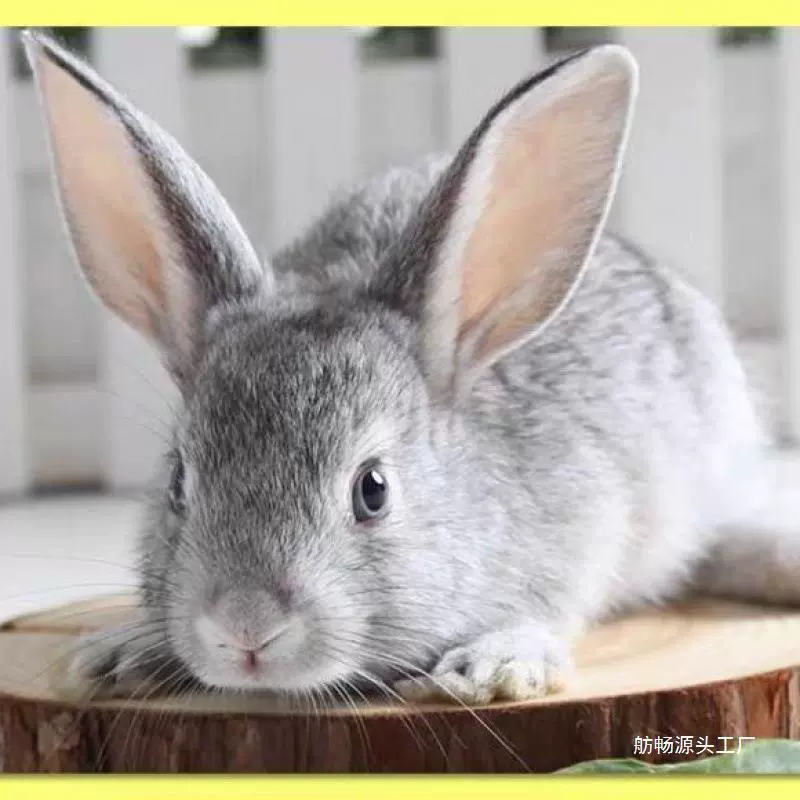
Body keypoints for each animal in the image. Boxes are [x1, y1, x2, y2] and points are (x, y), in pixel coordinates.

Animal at [23, 28, 800, 708]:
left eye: (373, 491)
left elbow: (549, 607)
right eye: (178, 482)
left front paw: (494, 666)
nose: (245, 628)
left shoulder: (591, 521)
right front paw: (122, 652)